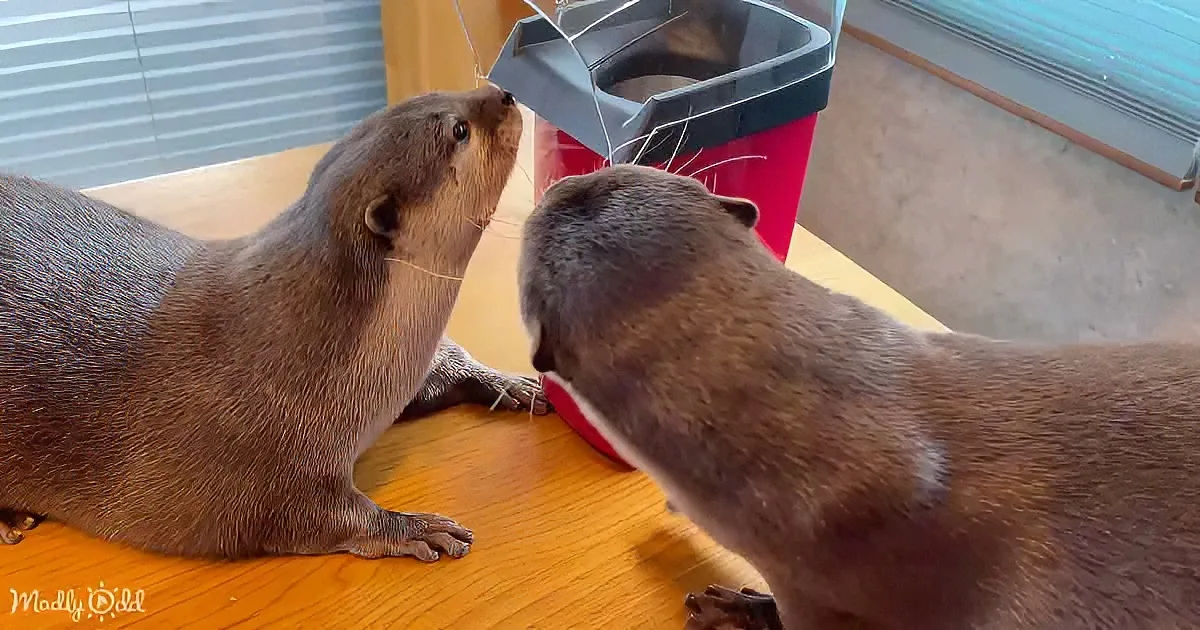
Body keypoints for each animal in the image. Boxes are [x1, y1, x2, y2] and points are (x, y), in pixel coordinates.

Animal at [0, 85, 548, 562]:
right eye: (459, 130)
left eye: (436, 94)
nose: (503, 94)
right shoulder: (250, 461)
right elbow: (304, 517)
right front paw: (409, 528)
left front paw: (506, 383)